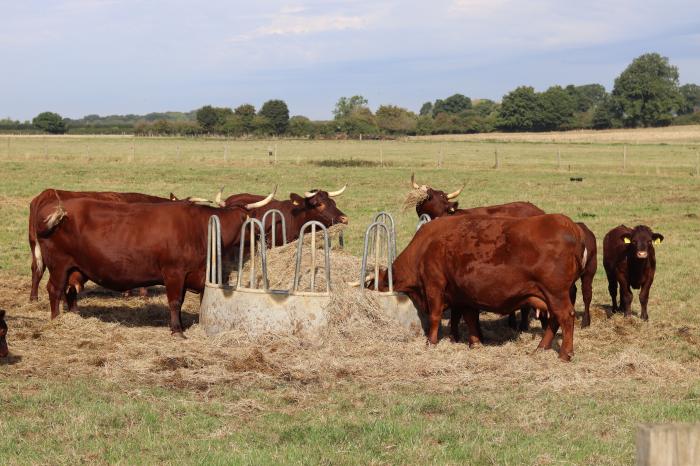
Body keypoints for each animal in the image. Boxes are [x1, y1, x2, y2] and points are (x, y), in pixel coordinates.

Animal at [374, 213, 588, 362]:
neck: (425, 246)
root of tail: (569, 225)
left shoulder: (434, 285)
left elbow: (435, 317)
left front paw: (431, 342)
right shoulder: (464, 295)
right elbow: (470, 318)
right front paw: (475, 343)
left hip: (556, 294)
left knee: (565, 317)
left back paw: (564, 354)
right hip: (551, 296)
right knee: (554, 320)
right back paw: (541, 347)